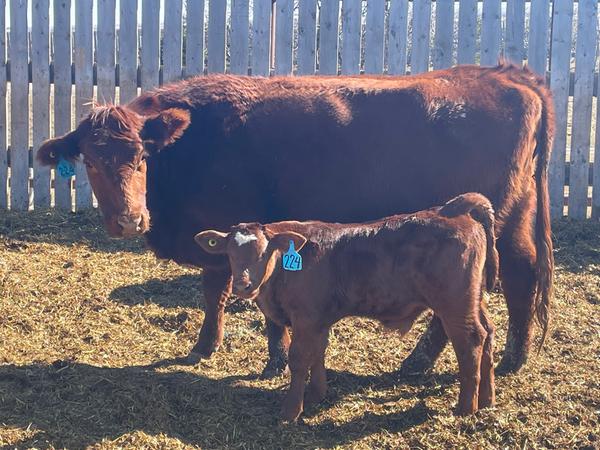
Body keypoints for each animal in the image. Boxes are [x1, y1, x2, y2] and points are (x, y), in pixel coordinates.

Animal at [36, 62, 554, 377]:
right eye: (90, 161)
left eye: (142, 156)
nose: (129, 220)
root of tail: (508, 75)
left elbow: (217, 292)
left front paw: (217, 348)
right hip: (511, 214)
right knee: (521, 275)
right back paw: (499, 357)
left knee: (504, 281)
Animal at [194, 193, 499, 420]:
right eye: (230, 254)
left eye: (263, 252)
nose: (242, 285)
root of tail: (452, 210)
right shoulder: (318, 320)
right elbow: (317, 354)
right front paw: (316, 395)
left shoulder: (306, 318)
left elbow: (299, 359)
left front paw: (291, 411)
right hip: (474, 300)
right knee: (488, 333)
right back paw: (486, 399)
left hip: (455, 305)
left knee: (471, 342)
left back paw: (465, 408)